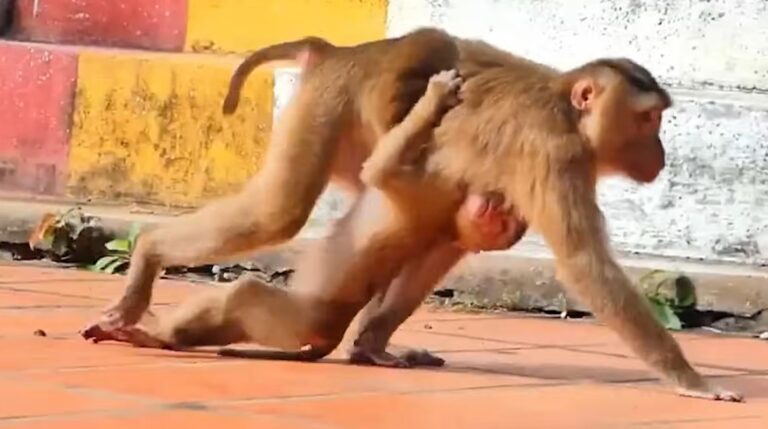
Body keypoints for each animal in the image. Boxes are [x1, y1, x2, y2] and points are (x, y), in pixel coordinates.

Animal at [83, 69, 528, 368]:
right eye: (502, 211)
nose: (495, 205)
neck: (454, 211)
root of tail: (325, 335)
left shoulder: (427, 188)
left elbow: (380, 170)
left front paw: (434, 101)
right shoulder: (445, 226)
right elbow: (404, 284)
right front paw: (377, 349)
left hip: (286, 321)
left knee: (245, 290)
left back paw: (156, 334)